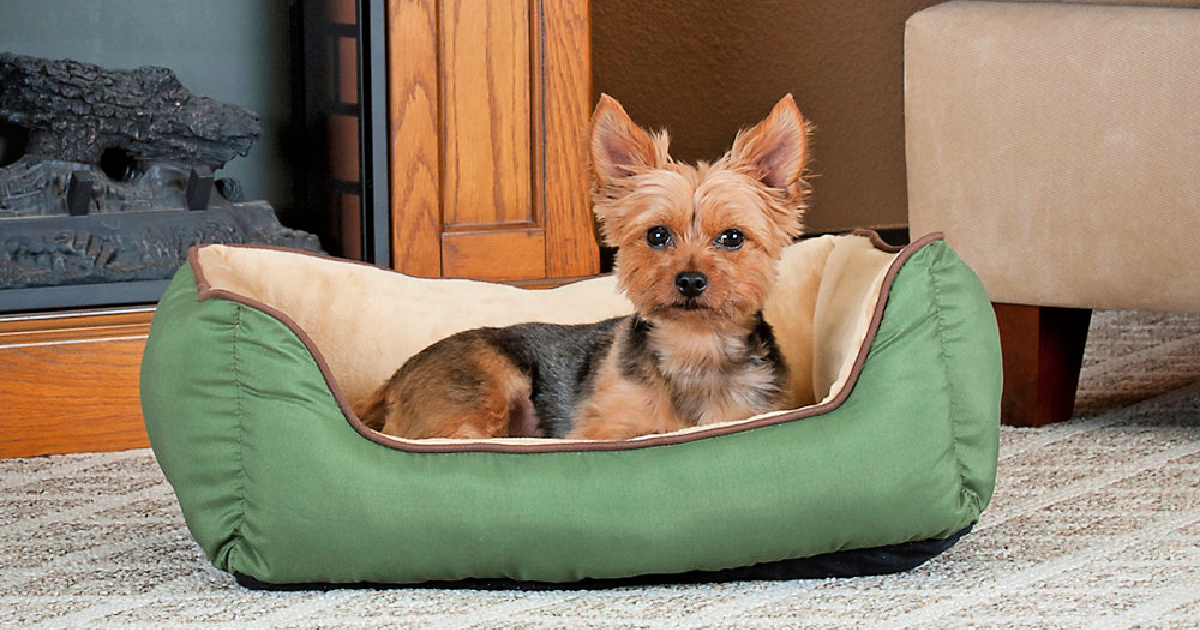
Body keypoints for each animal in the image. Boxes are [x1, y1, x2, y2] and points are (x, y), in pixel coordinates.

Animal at [350, 93, 811, 439]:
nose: (691, 281)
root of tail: (395, 379)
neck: (695, 349)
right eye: (657, 235)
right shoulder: (600, 430)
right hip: (480, 394)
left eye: (732, 238)